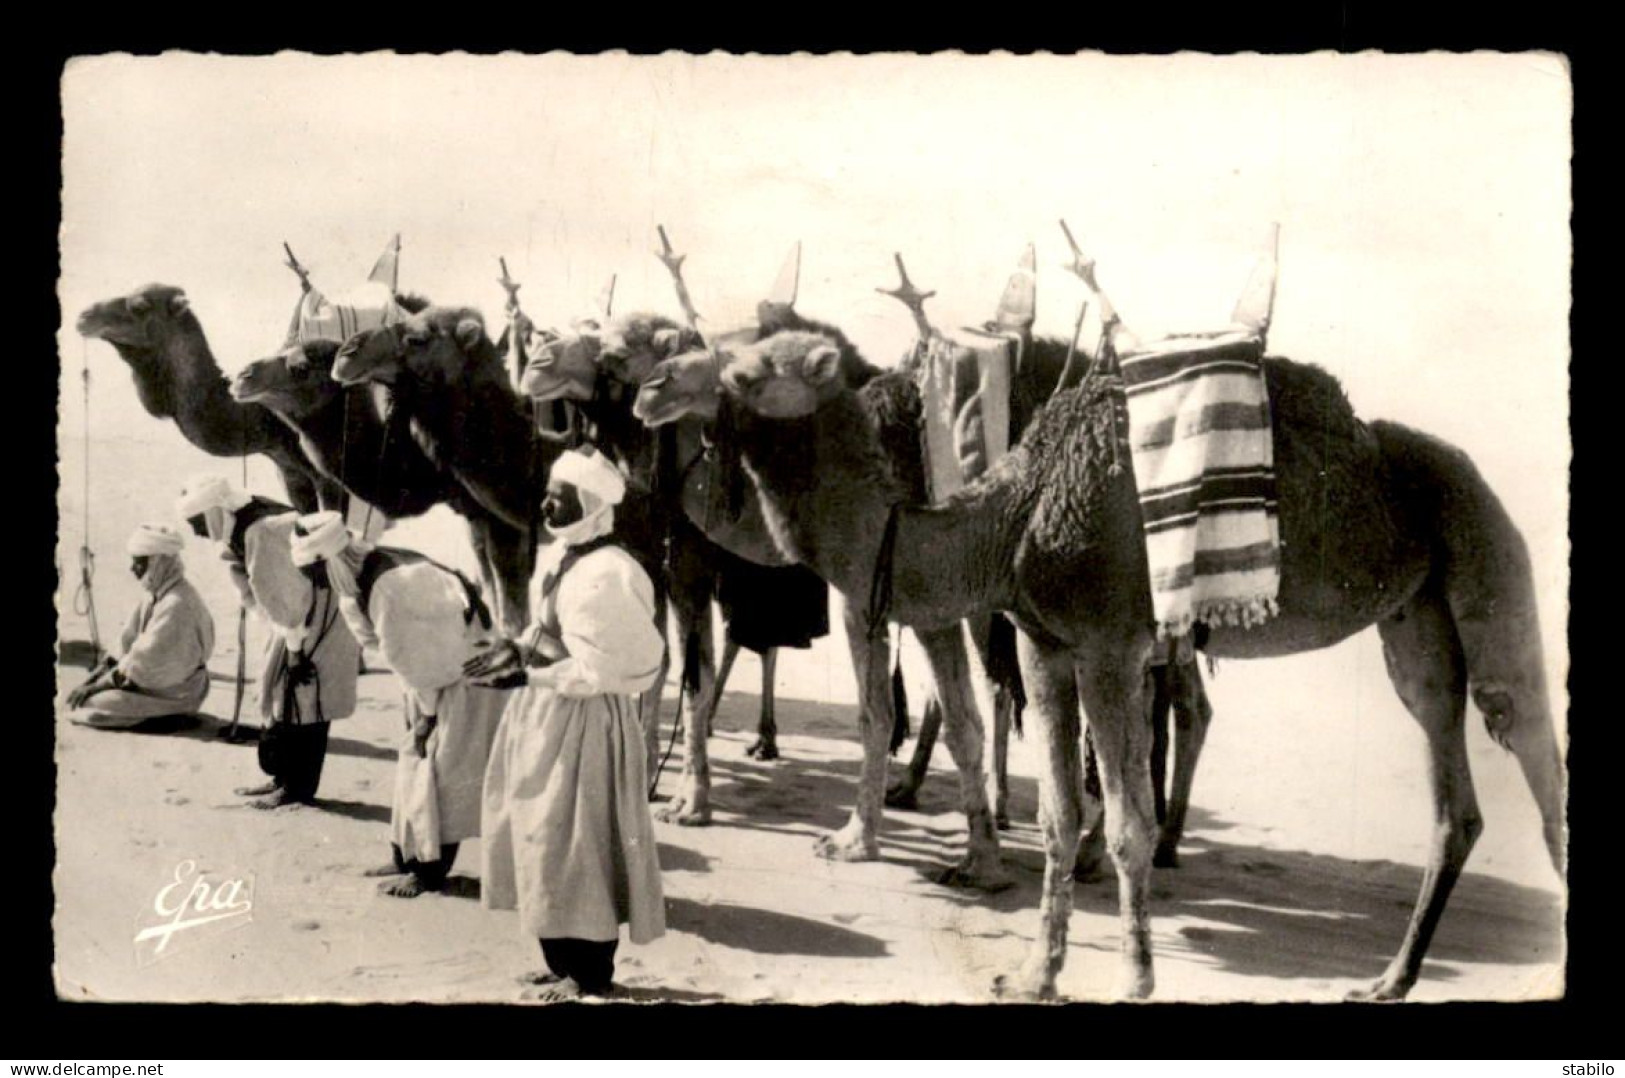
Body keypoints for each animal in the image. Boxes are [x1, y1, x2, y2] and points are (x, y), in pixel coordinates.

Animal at [708, 326, 1560, 1001]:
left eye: (748, 370)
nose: (694, 390)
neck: (1017, 513)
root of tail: (1471, 476)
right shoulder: (1043, 643)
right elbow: (1056, 815)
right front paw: (1033, 976)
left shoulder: (1110, 645)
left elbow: (1124, 822)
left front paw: (1134, 977)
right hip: (1413, 619)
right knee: (1449, 780)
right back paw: (1389, 979)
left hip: (1487, 551)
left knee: (1530, 742)